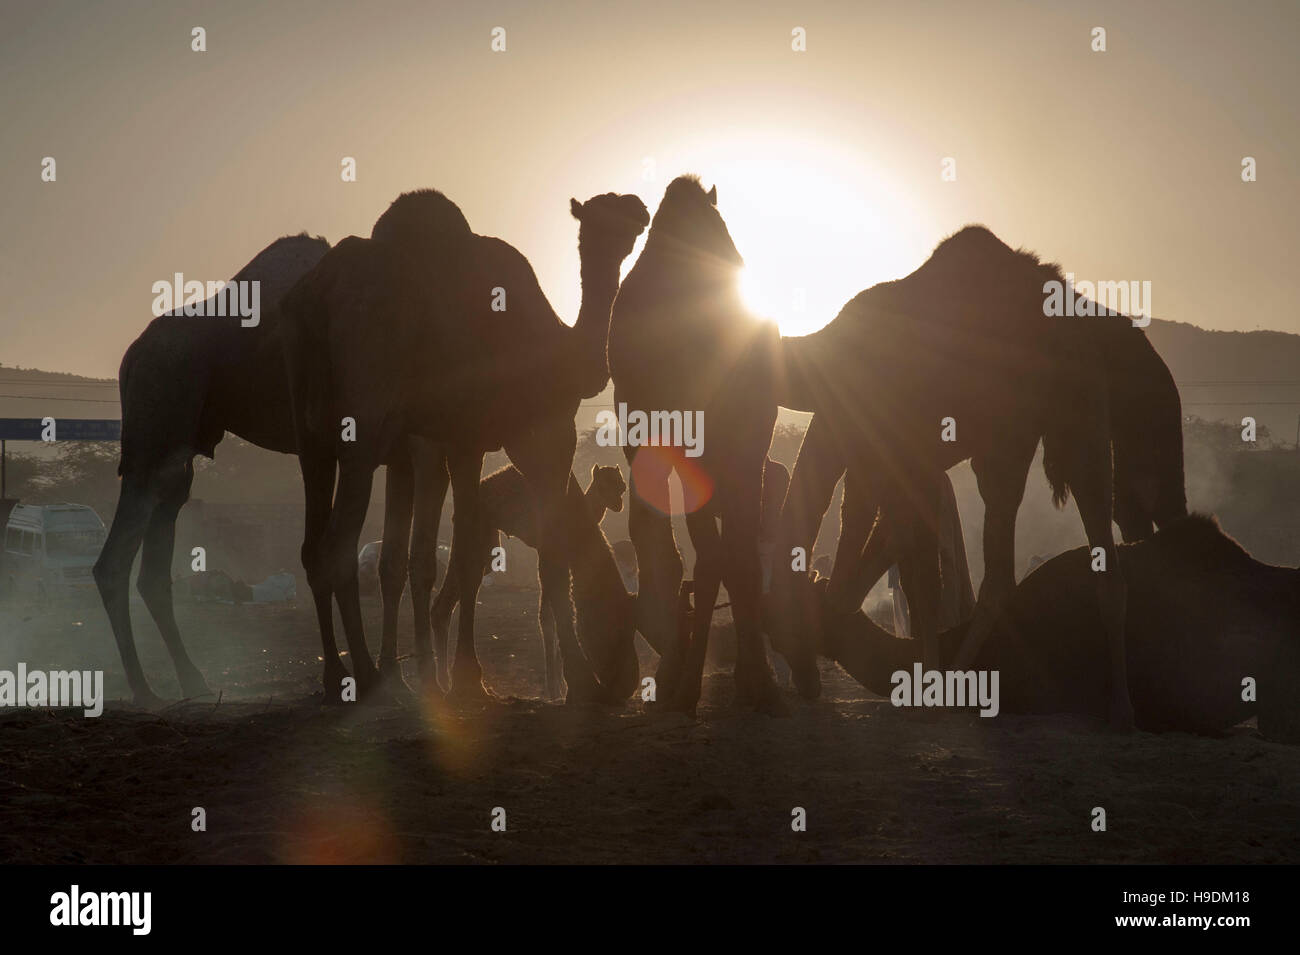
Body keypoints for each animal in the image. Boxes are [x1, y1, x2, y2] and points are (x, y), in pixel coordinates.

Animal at [428, 462, 626, 696]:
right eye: (604, 484)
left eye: (621, 485)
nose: (619, 503)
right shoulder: (546, 549)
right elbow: (547, 617)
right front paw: (555, 689)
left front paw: (560, 684)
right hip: (481, 527)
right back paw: (445, 682)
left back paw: (444, 682)